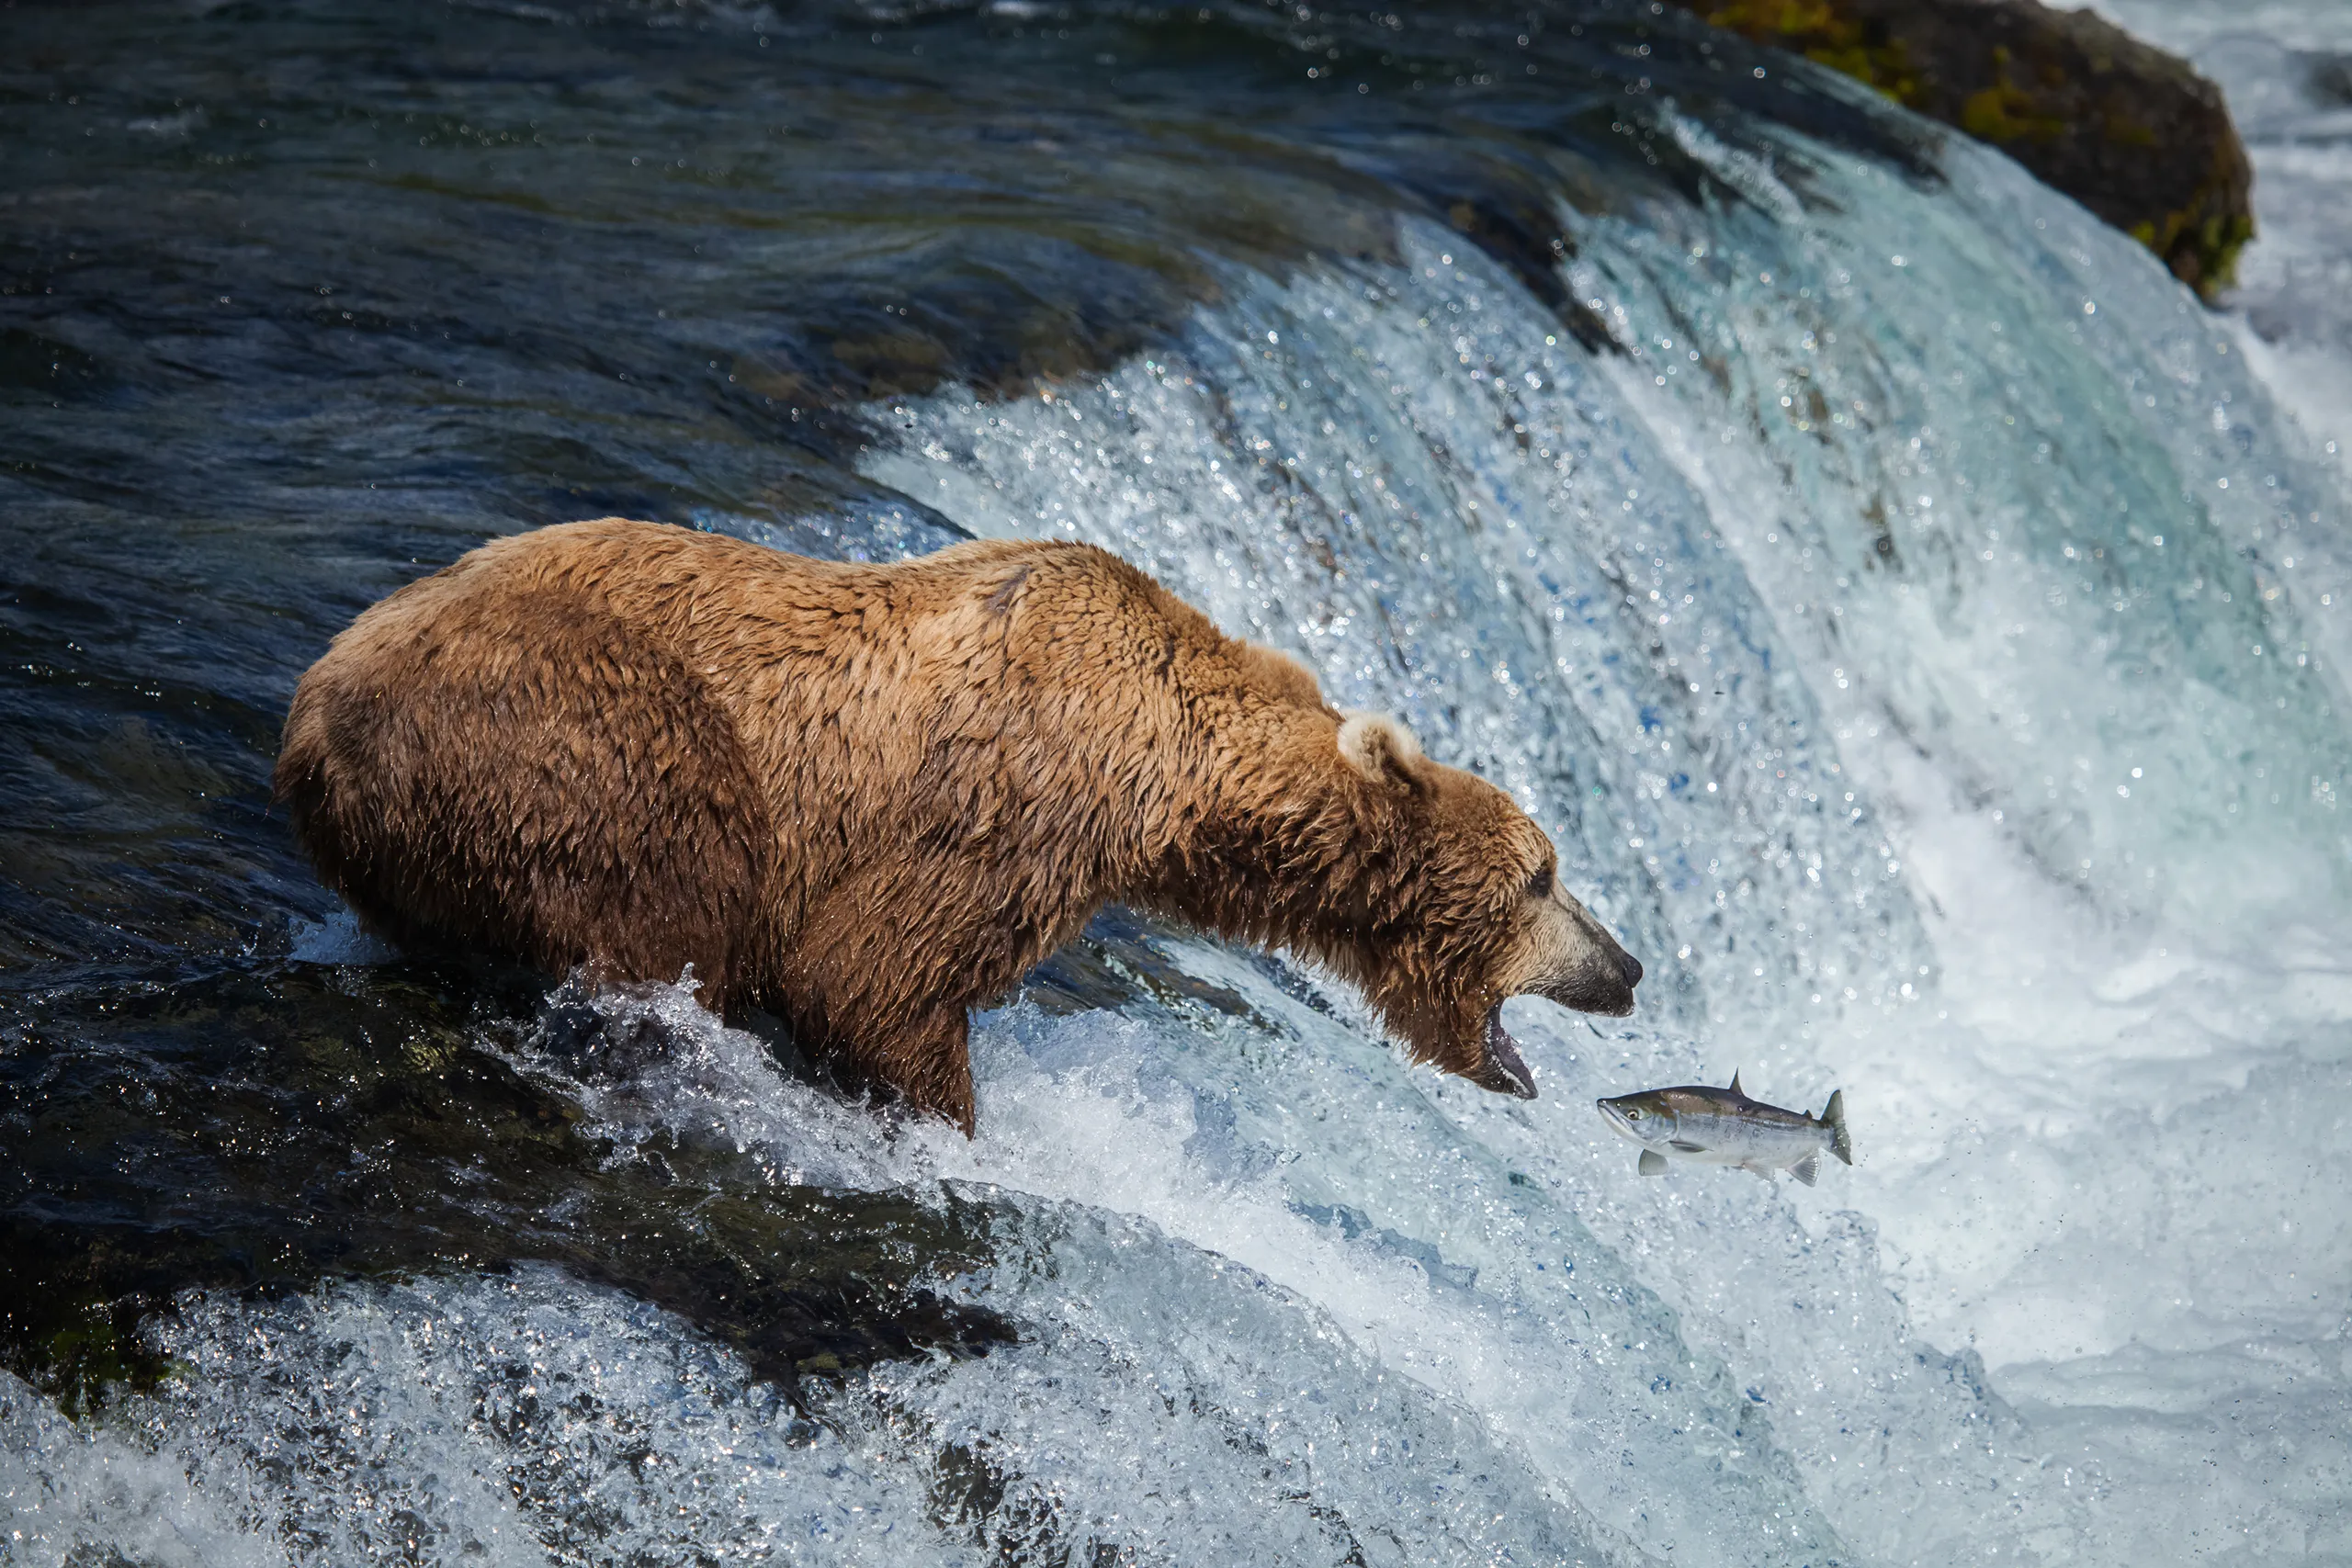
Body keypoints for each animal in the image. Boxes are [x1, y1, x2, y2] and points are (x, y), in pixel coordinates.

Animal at [276, 518, 1642, 1132]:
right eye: (1544, 874)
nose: (1627, 966)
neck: (1172, 779)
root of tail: (313, 710)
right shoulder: (1013, 803)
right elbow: (873, 973)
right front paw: (952, 1119)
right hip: (571, 729)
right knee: (675, 891)